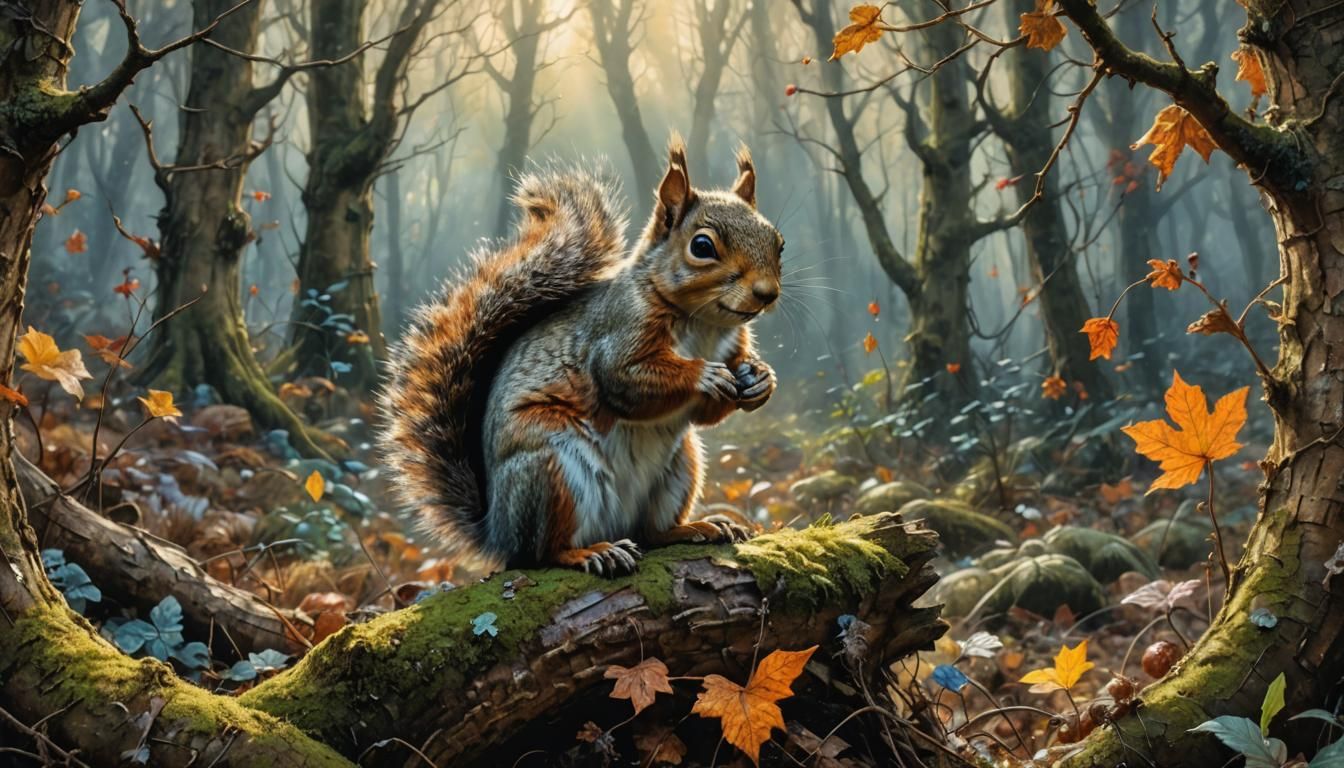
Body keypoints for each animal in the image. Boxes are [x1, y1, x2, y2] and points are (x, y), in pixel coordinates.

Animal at [379, 134, 783, 577]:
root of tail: (498, 531)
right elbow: (624, 382)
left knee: (651, 532)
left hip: (680, 468)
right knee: (542, 553)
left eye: (778, 243)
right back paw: (590, 553)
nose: (767, 294)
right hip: (550, 471)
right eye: (702, 246)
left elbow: (706, 412)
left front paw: (760, 379)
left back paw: (697, 527)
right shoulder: (616, 335)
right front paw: (704, 376)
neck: (705, 324)